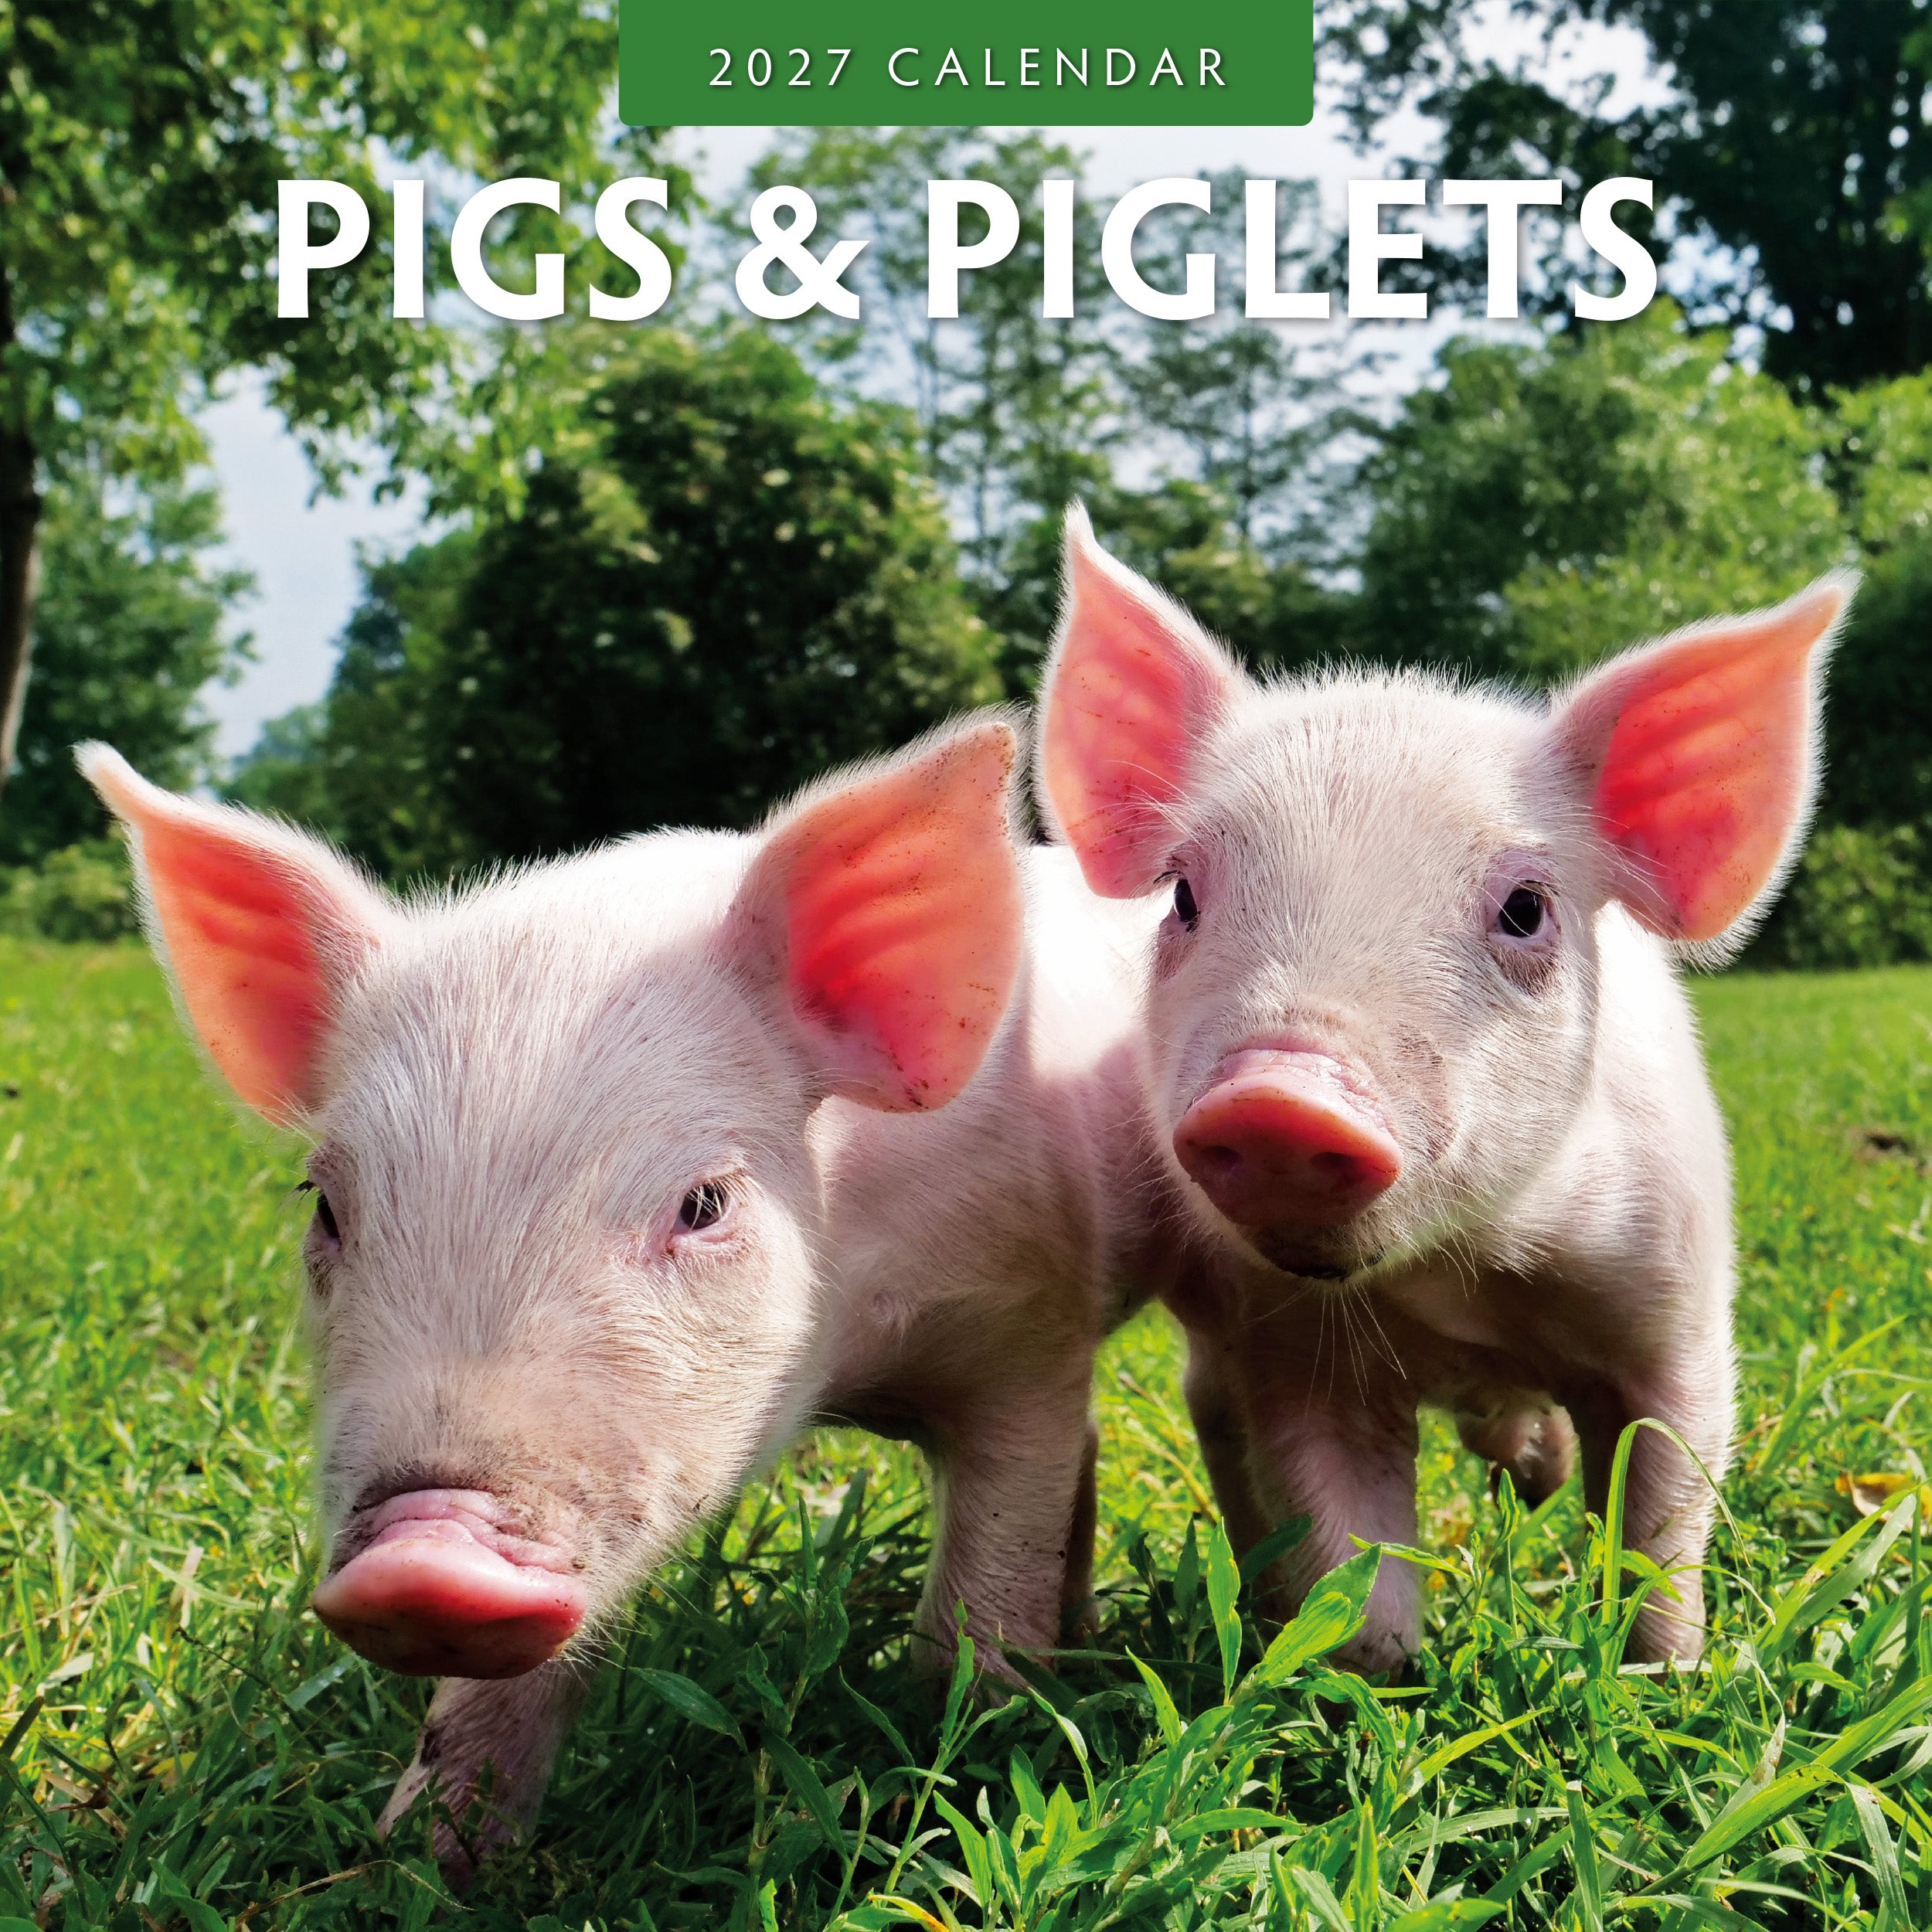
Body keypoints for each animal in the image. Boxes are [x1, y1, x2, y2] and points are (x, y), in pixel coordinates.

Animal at [81, 715, 1173, 1883]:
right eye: (325, 1207)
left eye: (702, 1201)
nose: (422, 1557)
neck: (841, 1370)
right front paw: (421, 1861)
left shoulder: (1028, 1324)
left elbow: (987, 1587)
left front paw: (979, 1772)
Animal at [1036, 505, 1850, 1671]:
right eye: (1184, 894)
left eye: (1524, 908)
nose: (1280, 1097)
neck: (1459, 1287)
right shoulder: (1285, 1349)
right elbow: (1350, 1563)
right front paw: (1378, 1678)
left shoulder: (1677, 1306)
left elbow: (1661, 1514)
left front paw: (1663, 1672)